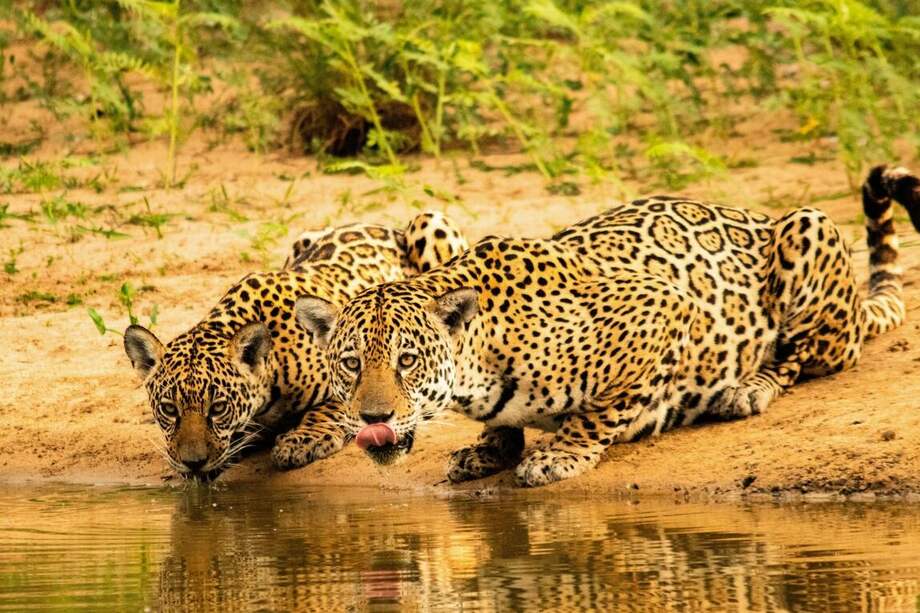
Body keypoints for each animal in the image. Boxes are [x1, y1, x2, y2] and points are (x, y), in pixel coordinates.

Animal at [123, 211, 468, 480]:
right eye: (169, 409)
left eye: (218, 408)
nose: (192, 463)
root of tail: (382, 225)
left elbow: (331, 408)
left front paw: (301, 440)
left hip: (430, 222)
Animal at [295, 165, 920, 487]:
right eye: (351, 363)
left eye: (407, 360)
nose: (373, 419)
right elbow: (503, 425)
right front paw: (490, 449)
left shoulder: (662, 310)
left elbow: (600, 412)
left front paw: (557, 455)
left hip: (808, 228)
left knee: (805, 354)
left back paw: (748, 389)